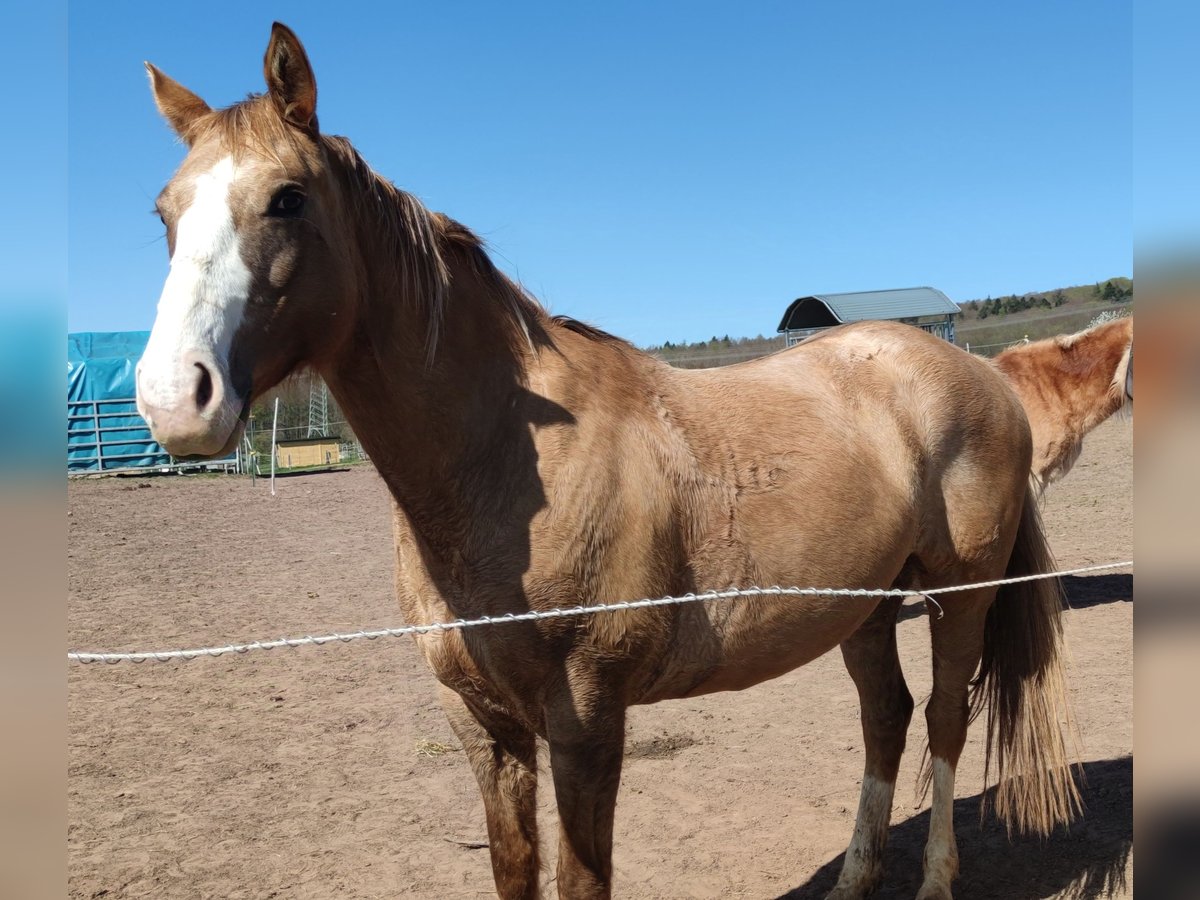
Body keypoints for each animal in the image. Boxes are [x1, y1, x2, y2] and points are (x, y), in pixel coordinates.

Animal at [138, 22, 1080, 900]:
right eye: (165, 212)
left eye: (288, 198)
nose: (172, 396)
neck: (504, 474)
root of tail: (980, 374)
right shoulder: (483, 727)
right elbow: (515, 870)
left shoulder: (587, 721)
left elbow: (581, 878)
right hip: (868, 607)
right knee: (886, 718)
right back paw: (853, 879)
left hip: (961, 592)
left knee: (948, 718)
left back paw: (935, 878)